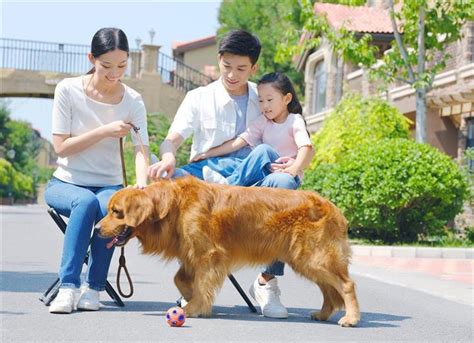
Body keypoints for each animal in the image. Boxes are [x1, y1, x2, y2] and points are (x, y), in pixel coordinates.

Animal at [99, 177, 360, 328]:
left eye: (116, 212)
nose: (96, 228)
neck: (172, 205)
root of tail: (333, 208)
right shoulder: (191, 252)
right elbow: (180, 279)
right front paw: (190, 297)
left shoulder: (208, 254)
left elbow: (201, 283)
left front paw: (193, 307)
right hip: (307, 261)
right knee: (329, 291)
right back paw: (324, 314)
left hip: (315, 258)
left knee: (345, 285)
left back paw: (351, 318)